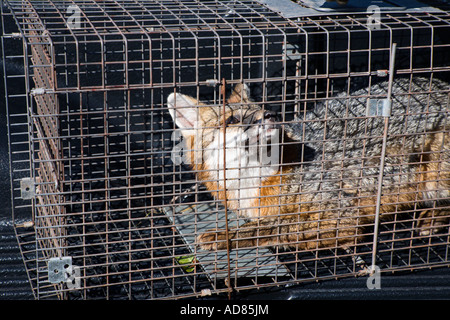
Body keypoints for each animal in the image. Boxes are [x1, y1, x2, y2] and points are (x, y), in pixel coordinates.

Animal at [167, 77, 448, 250]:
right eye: (232, 120)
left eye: (262, 108)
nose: (272, 115)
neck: (252, 180)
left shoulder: (341, 213)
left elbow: (274, 227)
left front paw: (224, 235)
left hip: (436, 176)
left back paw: (434, 216)